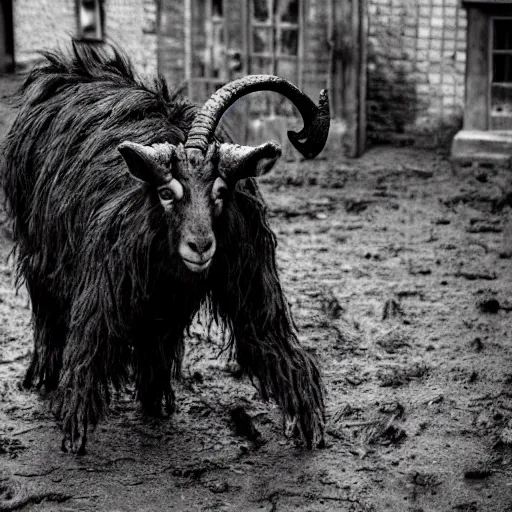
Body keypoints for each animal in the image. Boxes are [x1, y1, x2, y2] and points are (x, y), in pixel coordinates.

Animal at [0, 43, 330, 452]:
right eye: (166, 193)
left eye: (221, 191)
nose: (200, 246)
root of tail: (64, 69)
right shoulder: (104, 282)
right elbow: (88, 348)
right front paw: (73, 436)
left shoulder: (249, 275)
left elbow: (273, 340)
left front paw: (310, 427)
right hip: (39, 252)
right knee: (47, 314)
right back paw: (43, 379)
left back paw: (154, 402)